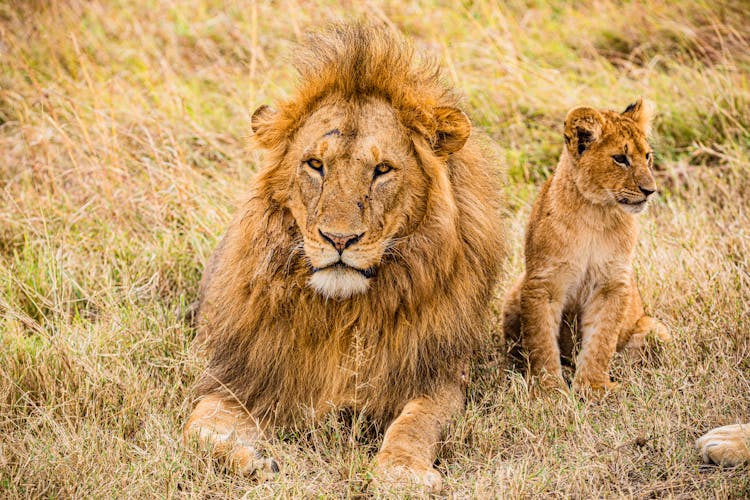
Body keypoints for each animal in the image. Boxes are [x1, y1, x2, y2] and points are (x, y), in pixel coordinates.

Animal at [185, 24, 508, 492]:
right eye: (315, 164)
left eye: (382, 170)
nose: (339, 239)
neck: (343, 315)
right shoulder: (240, 377)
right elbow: (196, 430)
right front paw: (256, 462)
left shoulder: (438, 374)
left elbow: (415, 423)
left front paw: (401, 473)